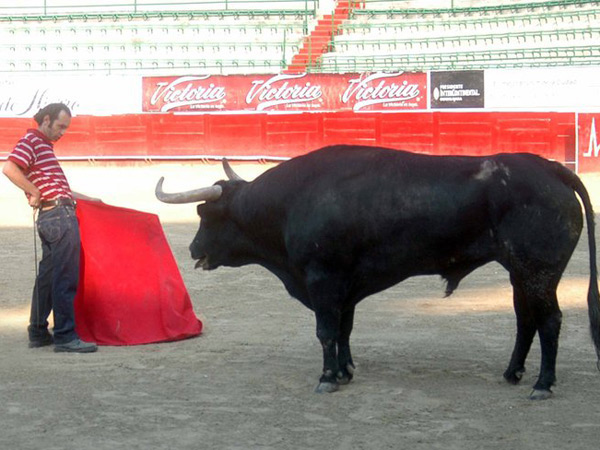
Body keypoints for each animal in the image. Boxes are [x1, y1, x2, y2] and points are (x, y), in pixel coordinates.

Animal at [156, 146, 600, 400]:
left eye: (205, 213)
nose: (193, 249)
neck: (290, 202)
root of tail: (551, 168)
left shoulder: (323, 279)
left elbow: (326, 331)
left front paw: (327, 378)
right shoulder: (345, 285)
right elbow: (344, 329)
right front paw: (345, 371)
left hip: (538, 270)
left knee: (550, 320)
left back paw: (543, 384)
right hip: (520, 272)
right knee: (526, 319)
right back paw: (513, 374)